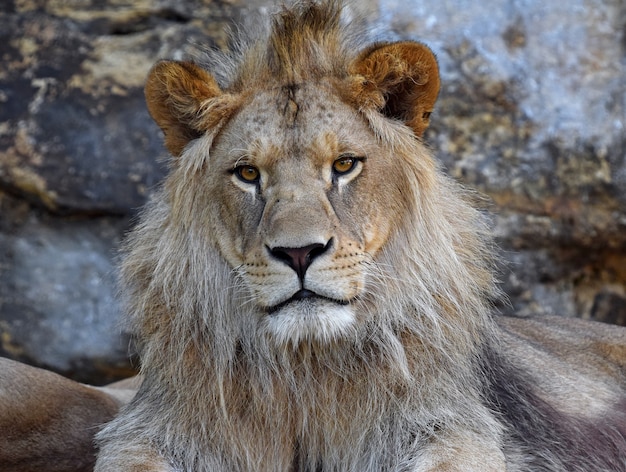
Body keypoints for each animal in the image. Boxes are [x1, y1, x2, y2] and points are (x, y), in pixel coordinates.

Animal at [89, 1, 624, 470]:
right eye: (247, 174)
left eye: (344, 165)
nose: (299, 252)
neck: (305, 371)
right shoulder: (149, 430)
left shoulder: (453, 426)